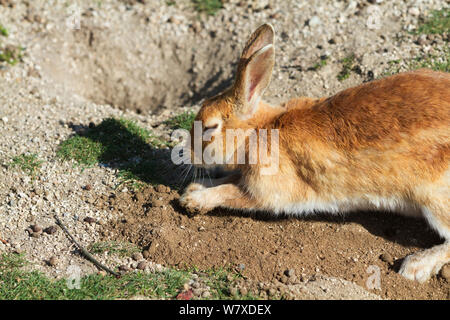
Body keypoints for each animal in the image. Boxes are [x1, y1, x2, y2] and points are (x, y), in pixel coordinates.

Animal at [179, 23, 450, 282]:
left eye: (210, 128)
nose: (187, 155)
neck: (259, 130)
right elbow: (228, 179)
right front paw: (193, 190)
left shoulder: (265, 192)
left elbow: (229, 191)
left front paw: (194, 200)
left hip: (433, 197)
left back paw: (415, 266)